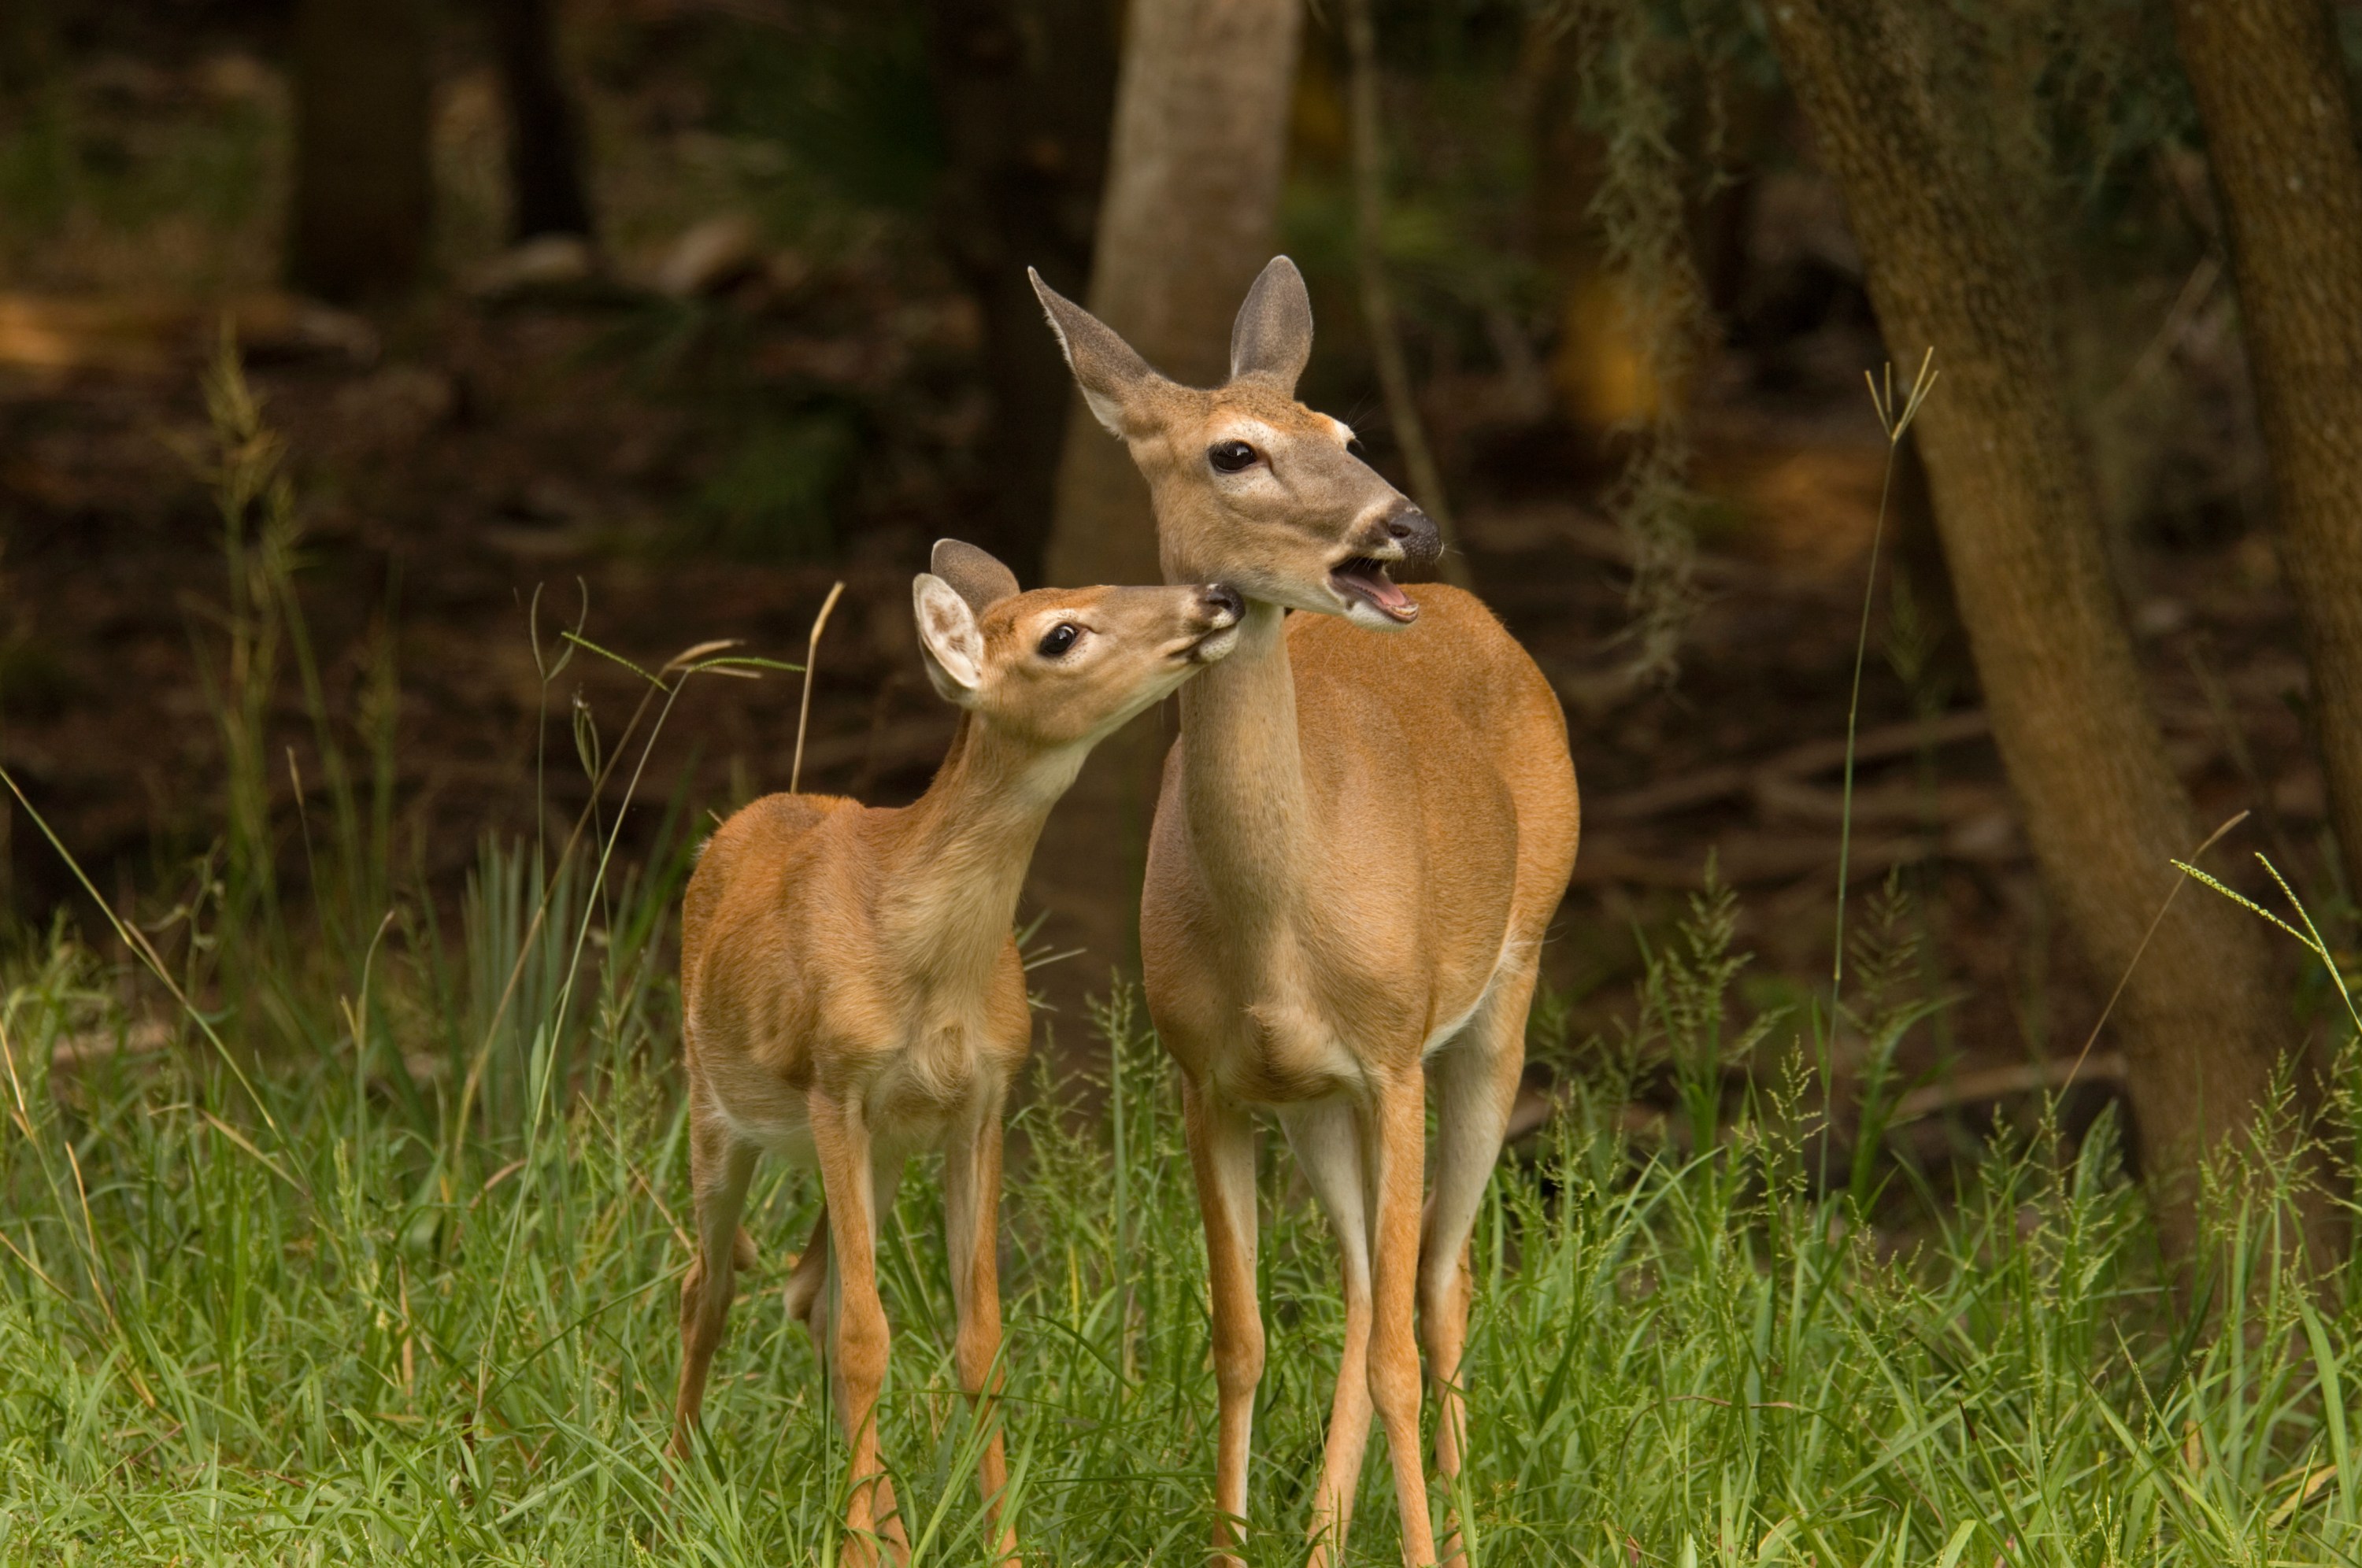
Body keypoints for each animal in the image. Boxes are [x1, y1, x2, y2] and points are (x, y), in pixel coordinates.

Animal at [669, 540, 1243, 1567]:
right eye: (1062, 634)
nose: (1217, 596)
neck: (928, 962)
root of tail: (736, 823)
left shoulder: (981, 1102)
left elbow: (977, 1342)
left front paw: (994, 1546)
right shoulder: (837, 1088)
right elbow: (869, 1338)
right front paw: (852, 1548)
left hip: (884, 1151)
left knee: (808, 1291)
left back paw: (889, 1525)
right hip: (717, 1108)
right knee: (711, 1285)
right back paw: (671, 1499)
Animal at [1030, 260, 1580, 1567]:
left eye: (1347, 433)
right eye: (1236, 452)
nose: (1408, 527)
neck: (1279, 928)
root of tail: (1482, 617)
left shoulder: (1392, 1054)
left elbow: (1398, 1342)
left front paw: (1426, 1552)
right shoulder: (1210, 1080)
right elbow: (1239, 1342)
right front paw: (1236, 1543)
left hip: (1504, 991)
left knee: (1436, 1287)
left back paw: (1463, 1529)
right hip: (1320, 1106)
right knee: (1366, 1286)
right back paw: (1328, 1534)